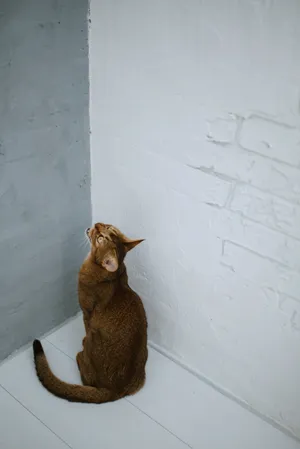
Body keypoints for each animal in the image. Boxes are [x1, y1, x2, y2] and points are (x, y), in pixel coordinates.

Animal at [32, 223, 148, 402]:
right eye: (108, 226)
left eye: (100, 238)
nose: (96, 224)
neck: (114, 274)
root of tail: (116, 391)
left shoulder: (86, 314)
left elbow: (85, 329)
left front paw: (82, 340)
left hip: (94, 337)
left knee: (86, 379)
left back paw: (80, 355)